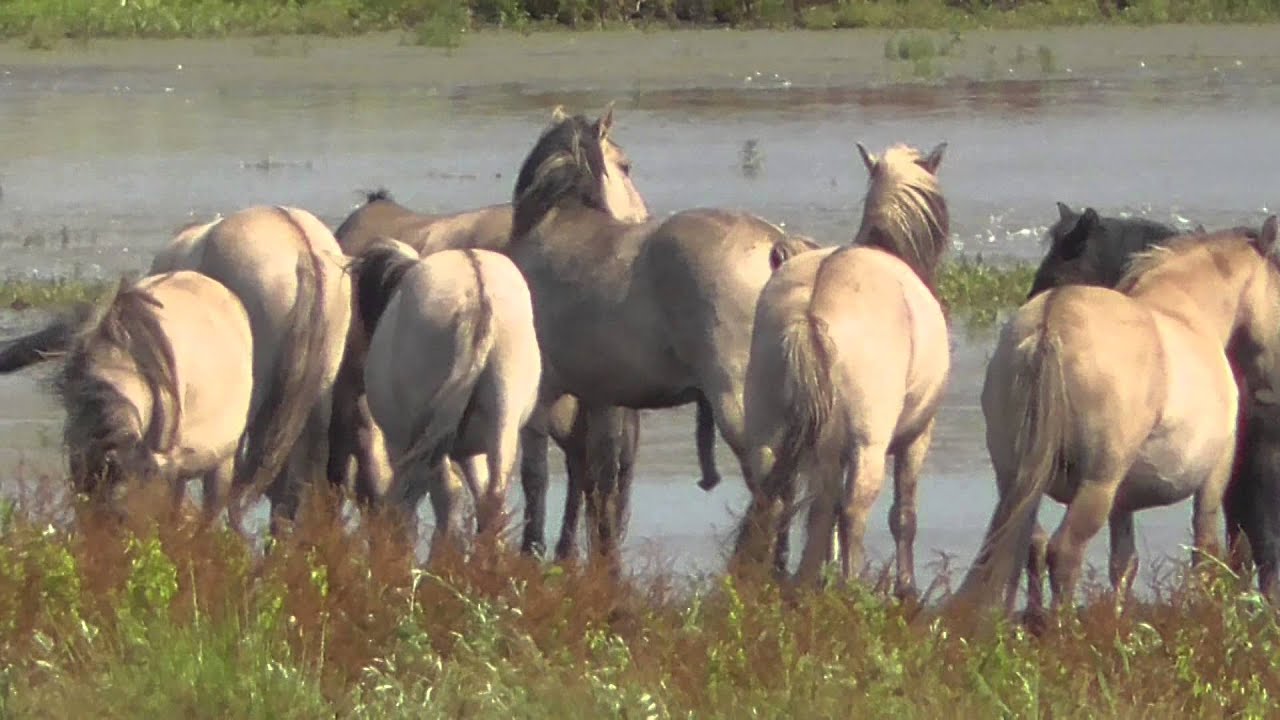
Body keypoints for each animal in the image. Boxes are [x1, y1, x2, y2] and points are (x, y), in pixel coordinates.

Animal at [354, 238, 541, 557]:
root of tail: (479, 300)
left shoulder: (400, 443)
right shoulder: (470, 451)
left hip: (429, 429)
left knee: (444, 493)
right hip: (502, 416)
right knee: (491, 497)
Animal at [505, 107, 819, 564]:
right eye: (626, 166)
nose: (644, 214)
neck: (554, 223)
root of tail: (775, 244)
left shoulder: (543, 398)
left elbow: (537, 480)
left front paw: (532, 551)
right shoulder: (602, 399)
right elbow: (600, 483)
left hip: (739, 406)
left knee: (770, 492)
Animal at [732, 142, 950, 592]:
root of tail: (811, 308)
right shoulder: (916, 437)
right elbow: (903, 516)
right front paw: (905, 588)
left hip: (769, 439)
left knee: (776, 503)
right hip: (868, 446)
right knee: (853, 511)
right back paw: (851, 589)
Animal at [951, 217, 1280, 616]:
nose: (1270, 385)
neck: (1187, 313)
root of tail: (1051, 322)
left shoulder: (1122, 502)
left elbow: (1123, 563)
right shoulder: (1215, 473)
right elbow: (1205, 550)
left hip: (1015, 477)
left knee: (1029, 542)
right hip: (1097, 484)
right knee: (1063, 551)